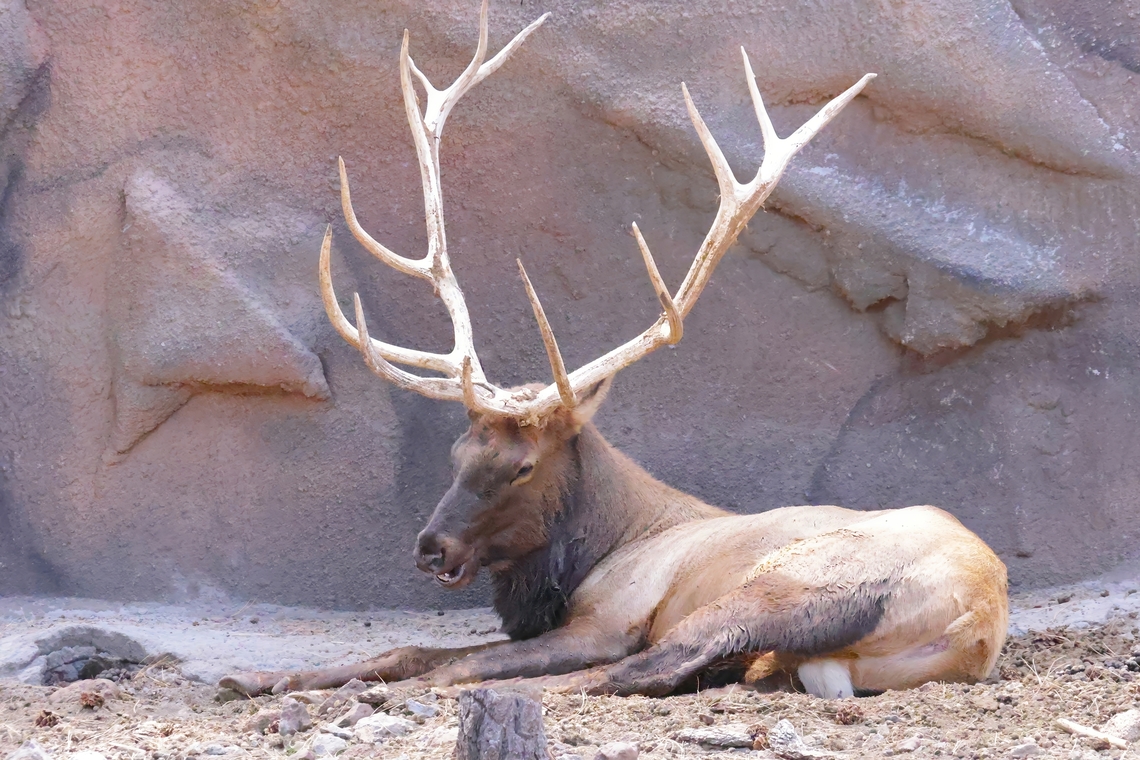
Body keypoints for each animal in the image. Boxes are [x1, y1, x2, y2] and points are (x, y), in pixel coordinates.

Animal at [220, 0, 1008, 700]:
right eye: (458, 450)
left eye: (523, 465)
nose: (431, 547)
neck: (601, 546)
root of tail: (976, 614)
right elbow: (406, 648)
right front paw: (255, 677)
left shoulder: (612, 617)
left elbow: (456, 663)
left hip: (791, 585)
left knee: (655, 665)